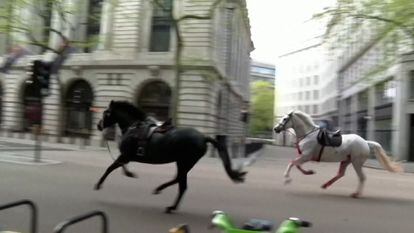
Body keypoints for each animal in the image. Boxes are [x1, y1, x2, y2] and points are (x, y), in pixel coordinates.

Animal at [94, 100, 246, 213]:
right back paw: (170, 203)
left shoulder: (125, 155)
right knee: (180, 182)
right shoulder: (126, 157)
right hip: (183, 163)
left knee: (180, 182)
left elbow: (111, 167)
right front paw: (129, 173)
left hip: (184, 162)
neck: (133, 127)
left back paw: (163, 194)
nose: (98, 125)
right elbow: (118, 166)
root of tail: (203, 137)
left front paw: (99, 184)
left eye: (106, 113)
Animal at [274, 110, 402, 198]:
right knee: (340, 174)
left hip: (356, 162)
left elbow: (292, 163)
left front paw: (287, 179)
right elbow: (297, 165)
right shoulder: (304, 157)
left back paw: (356, 194)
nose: (276, 129)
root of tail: (365, 142)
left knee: (361, 177)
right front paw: (310, 172)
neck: (308, 134)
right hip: (346, 161)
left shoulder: (306, 156)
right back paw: (325, 185)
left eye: (285, 119)